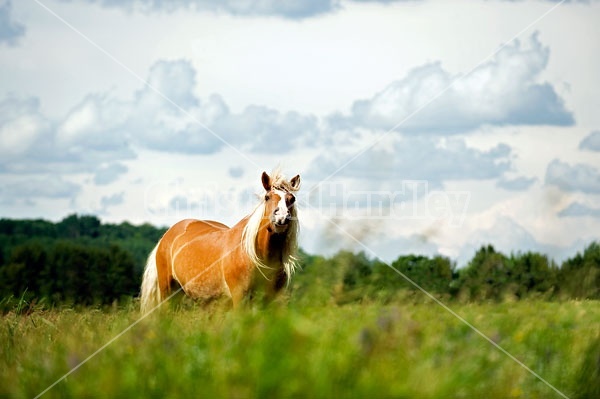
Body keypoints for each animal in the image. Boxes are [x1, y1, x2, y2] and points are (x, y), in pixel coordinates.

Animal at [140, 170, 300, 314]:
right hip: (168, 291)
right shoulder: (239, 297)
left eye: (292, 199)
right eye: (267, 197)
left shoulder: (268, 299)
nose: (281, 218)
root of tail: (165, 237)